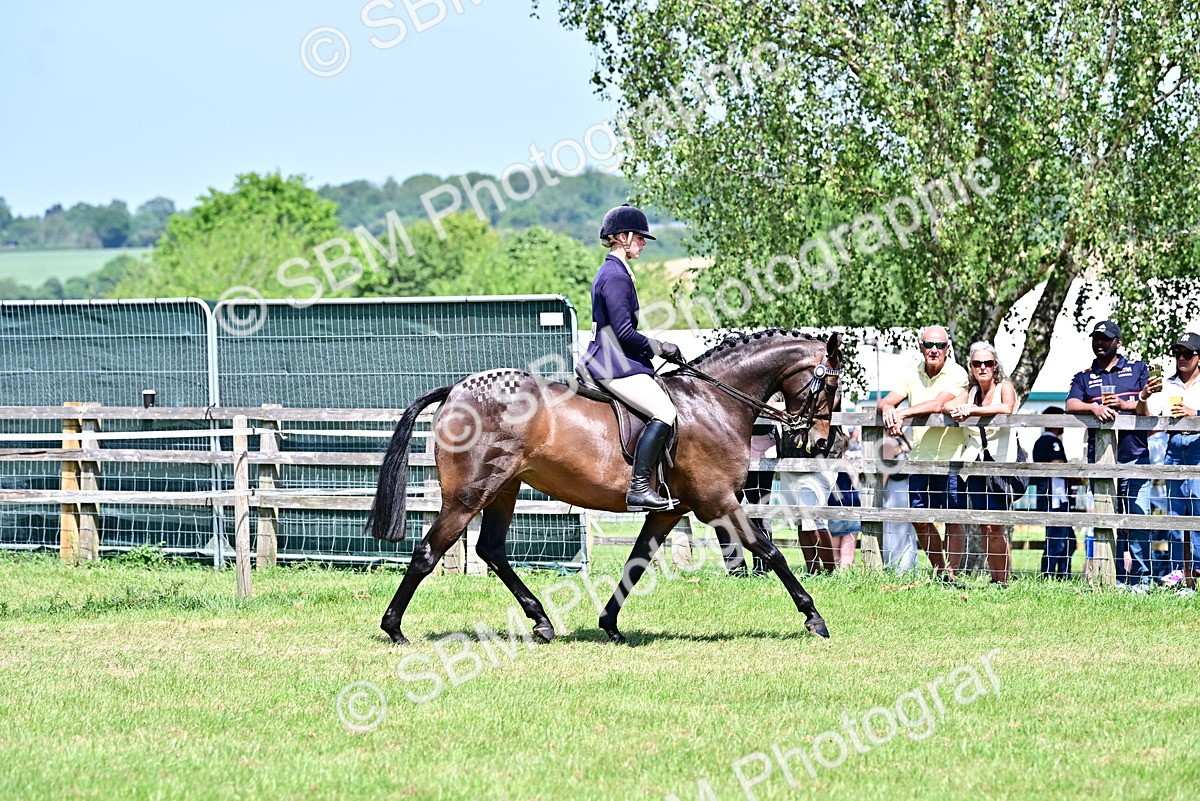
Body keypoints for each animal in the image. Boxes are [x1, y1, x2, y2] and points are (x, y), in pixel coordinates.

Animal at [368, 329, 845, 645]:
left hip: (504, 489)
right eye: (832, 385)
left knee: (492, 550)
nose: (822, 442)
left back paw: (541, 622)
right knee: (427, 553)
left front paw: (609, 624)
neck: (713, 402)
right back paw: (394, 629)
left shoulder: (670, 510)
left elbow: (636, 563)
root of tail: (457, 389)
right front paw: (814, 618)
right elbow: (771, 552)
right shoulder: (719, 502)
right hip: (469, 495)